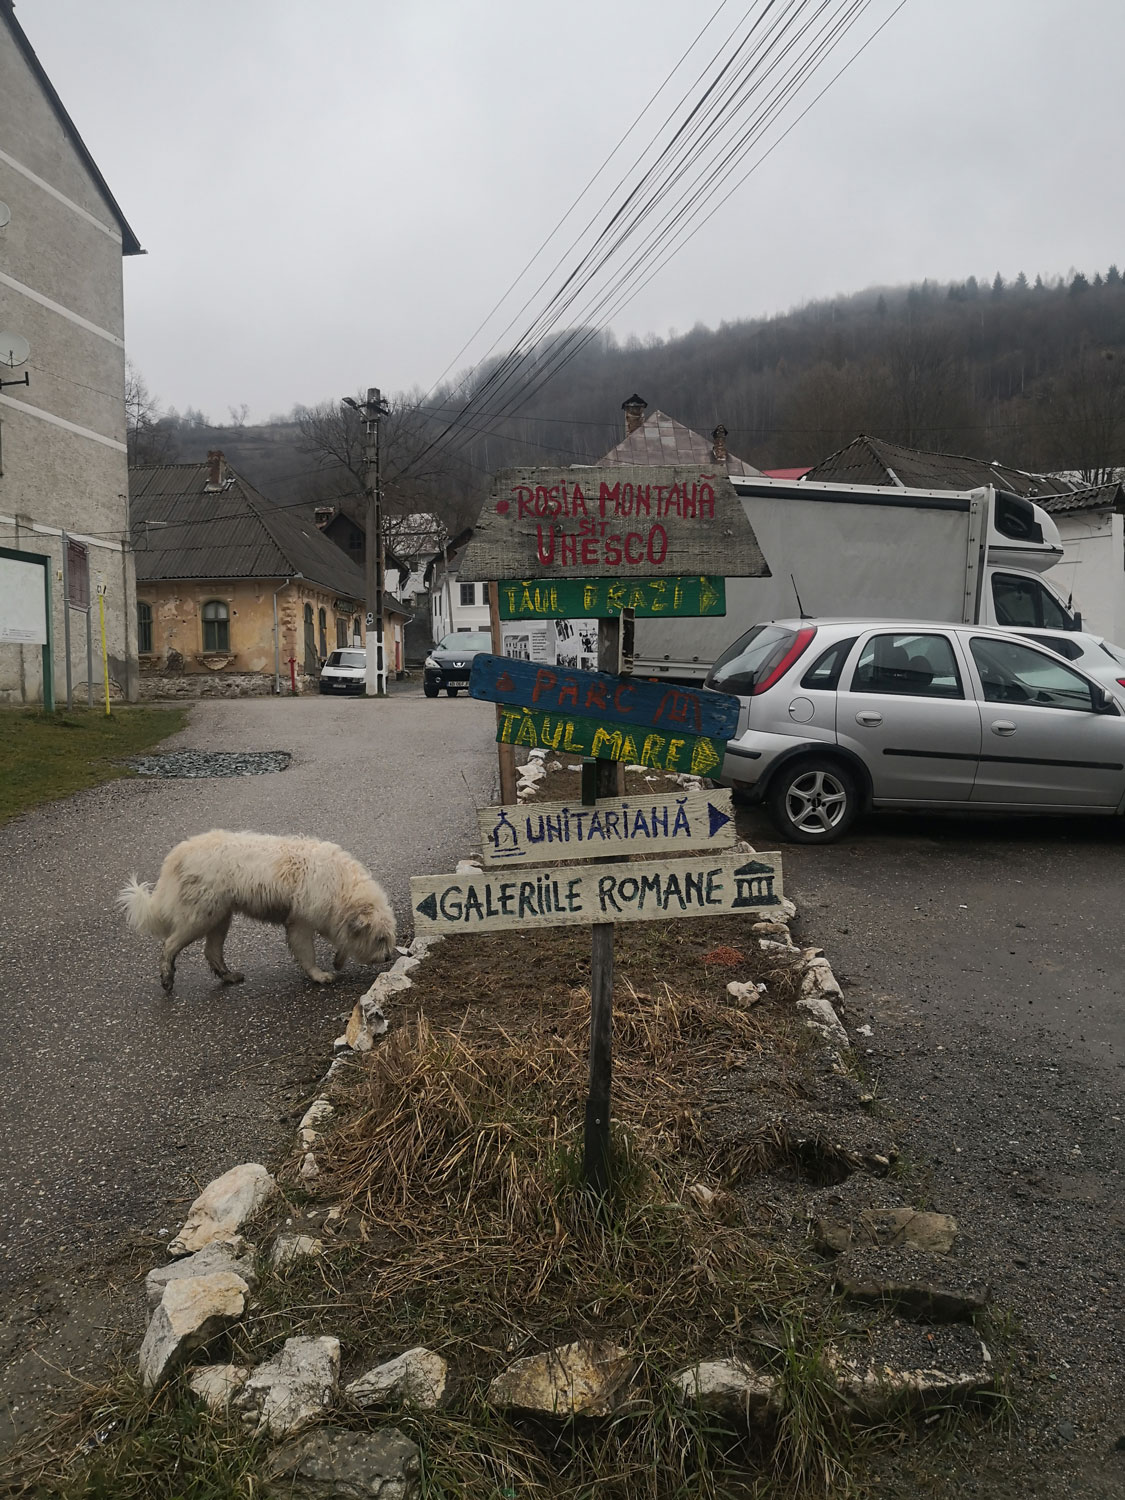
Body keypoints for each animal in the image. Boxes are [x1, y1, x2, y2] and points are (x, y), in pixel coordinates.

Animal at [117, 834, 396, 996]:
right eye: (380, 939)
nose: (388, 958)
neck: (341, 885)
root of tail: (179, 853)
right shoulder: (301, 923)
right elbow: (307, 953)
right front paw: (319, 975)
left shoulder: (330, 917)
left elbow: (342, 939)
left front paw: (338, 960)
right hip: (200, 916)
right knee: (169, 944)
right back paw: (167, 977)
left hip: (220, 917)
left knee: (212, 952)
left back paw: (228, 976)